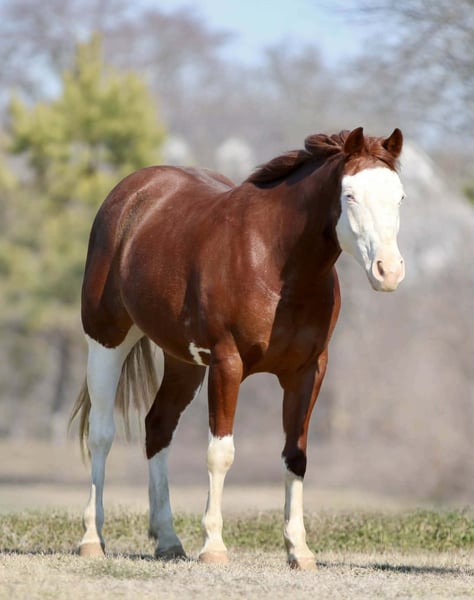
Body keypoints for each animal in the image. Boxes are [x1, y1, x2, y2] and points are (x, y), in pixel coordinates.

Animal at [70, 126, 405, 569]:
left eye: (399, 196)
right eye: (349, 195)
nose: (389, 271)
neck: (274, 262)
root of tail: (130, 194)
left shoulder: (308, 371)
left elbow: (295, 454)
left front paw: (299, 549)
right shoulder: (227, 364)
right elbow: (221, 453)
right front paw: (214, 545)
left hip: (184, 362)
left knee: (158, 426)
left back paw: (168, 540)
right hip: (107, 341)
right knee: (102, 435)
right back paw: (92, 538)